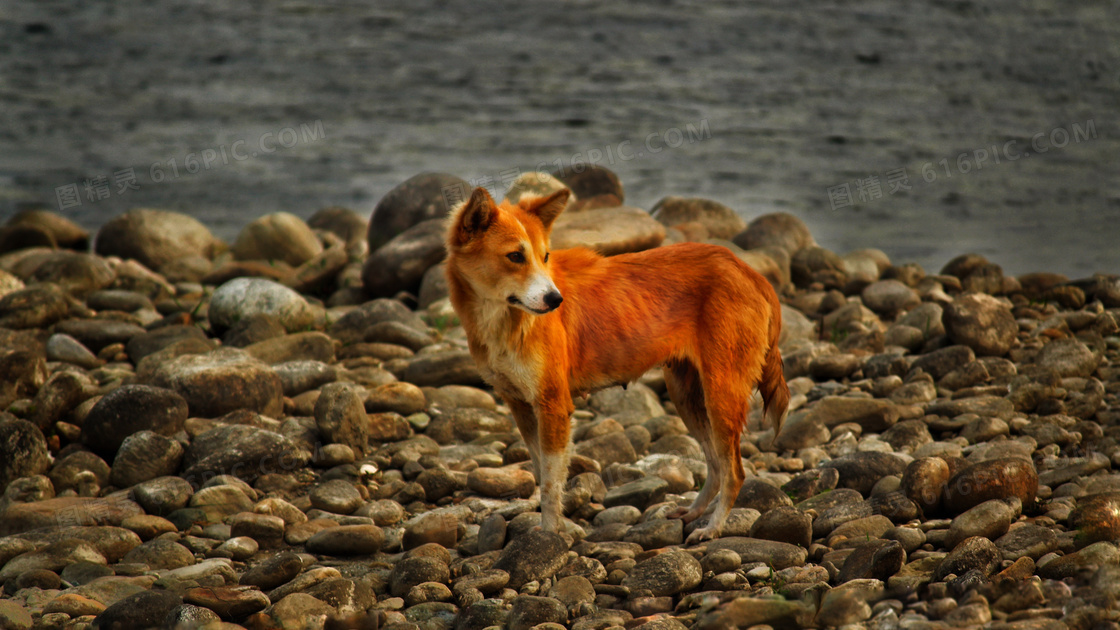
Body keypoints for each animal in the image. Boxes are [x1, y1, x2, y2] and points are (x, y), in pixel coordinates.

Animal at [445, 184, 788, 540]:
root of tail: (748, 270)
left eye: (545, 256)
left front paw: (550, 537)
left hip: (721, 394)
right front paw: (559, 528)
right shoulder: (521, 407)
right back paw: (693, 512)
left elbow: (551, 485)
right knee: (717, 465)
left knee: (734, 471)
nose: (556, 300)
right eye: (515, 256)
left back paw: (713, 528)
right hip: (686, 396)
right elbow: (542, 475)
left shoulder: (553, 405)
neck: (504, 320)